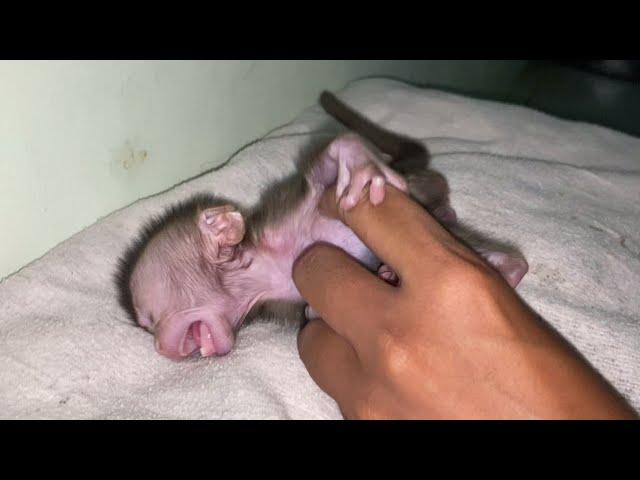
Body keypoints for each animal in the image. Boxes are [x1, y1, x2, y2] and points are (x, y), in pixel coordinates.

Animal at [116, 91, 528, 360]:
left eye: (150, 319)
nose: (158, 345)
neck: (264, 268)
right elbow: (309, 313)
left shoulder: (297, 215)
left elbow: (328, 163)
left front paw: (360, 166)